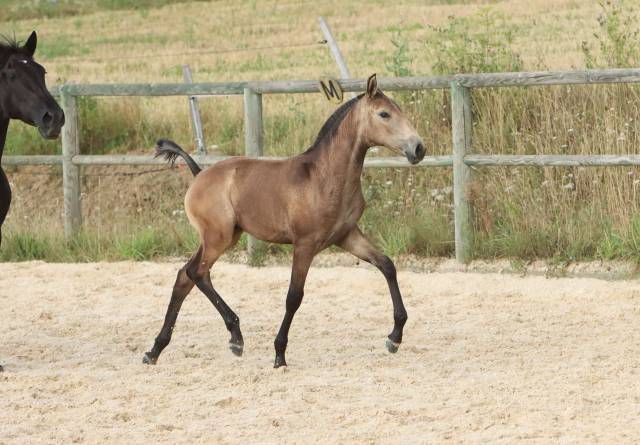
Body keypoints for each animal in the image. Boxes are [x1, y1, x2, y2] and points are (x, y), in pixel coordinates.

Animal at [144, 74, 424, 368]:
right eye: (384, 114)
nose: (419, 148)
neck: (325, 178)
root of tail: (198, 174)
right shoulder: (305, 245)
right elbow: (294, 296)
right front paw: (279, 353)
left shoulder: (347, 235)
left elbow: (387, 265)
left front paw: (395, 337)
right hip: (217, 238)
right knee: (195, 273)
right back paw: (234, 338)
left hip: (223, 237)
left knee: (185, 277)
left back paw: (156, 350)